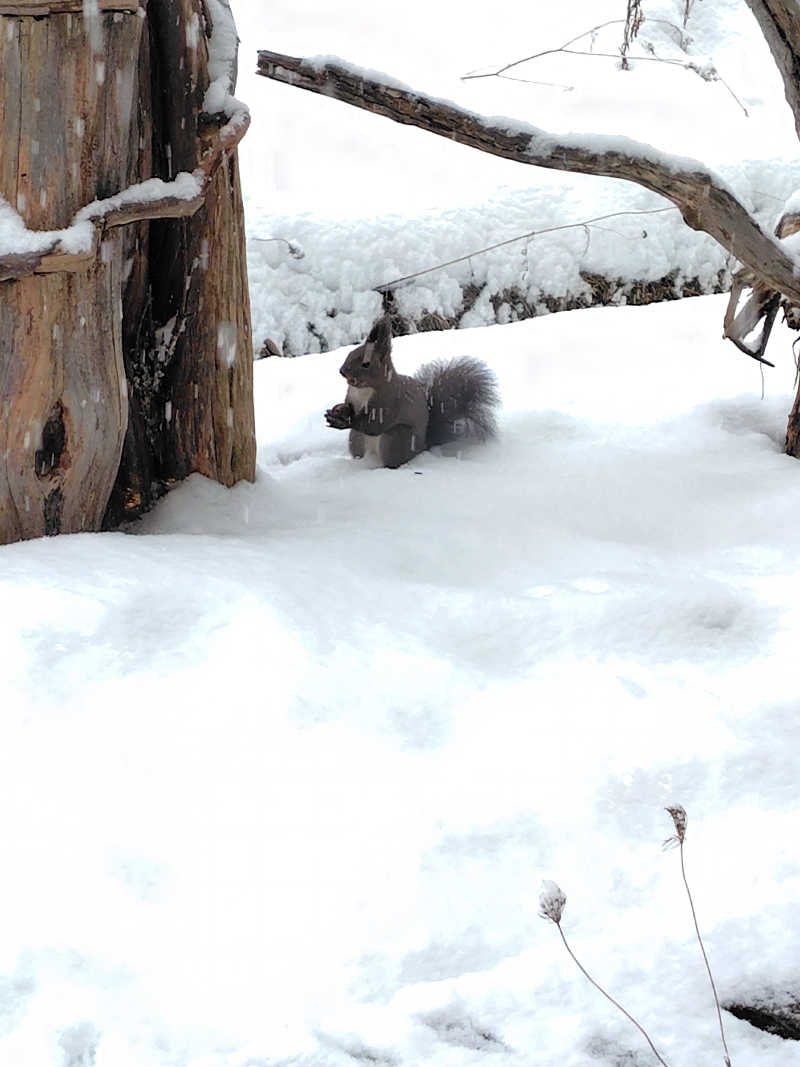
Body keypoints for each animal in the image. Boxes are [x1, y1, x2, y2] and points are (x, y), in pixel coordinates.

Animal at [322, 313, 499, 469]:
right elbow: (349, 406)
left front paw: (346, 420)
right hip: (356, 439)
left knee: (391, 460)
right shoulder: (351, 396)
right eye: (350, 353)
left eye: (366, 364)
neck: (363, 389)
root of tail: (422, 447)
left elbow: (374, 424)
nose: (342, 371)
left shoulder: (388, 401)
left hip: (395, 438)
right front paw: (340, 410)